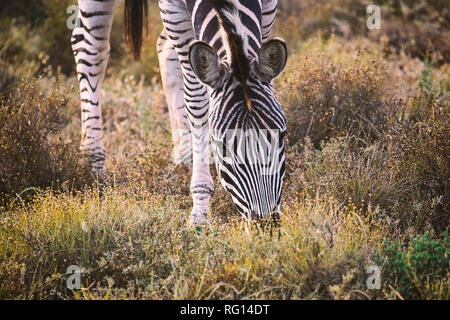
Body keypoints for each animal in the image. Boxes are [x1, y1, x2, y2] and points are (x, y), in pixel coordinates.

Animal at [71, 0, 288, 225]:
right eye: (222, 145)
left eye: (282, 136)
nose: (266, 222)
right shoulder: (173, 12)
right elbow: (197, 101)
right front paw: (200, 208)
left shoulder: (269, 9)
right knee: (89, 49)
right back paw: (93, 162)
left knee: (164, 48)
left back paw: (184, 153)